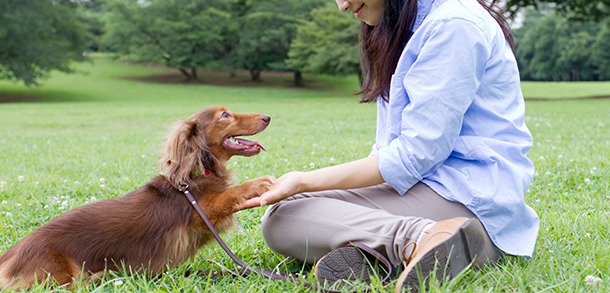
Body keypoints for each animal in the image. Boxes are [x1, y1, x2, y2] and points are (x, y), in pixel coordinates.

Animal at [0, 105, 274, 288]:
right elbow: (229, 195)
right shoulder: (199, 212)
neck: (193, 175)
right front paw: (259, 183)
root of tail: (9, 256)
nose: (268, 116)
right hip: (60, 275)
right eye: (225, 115)